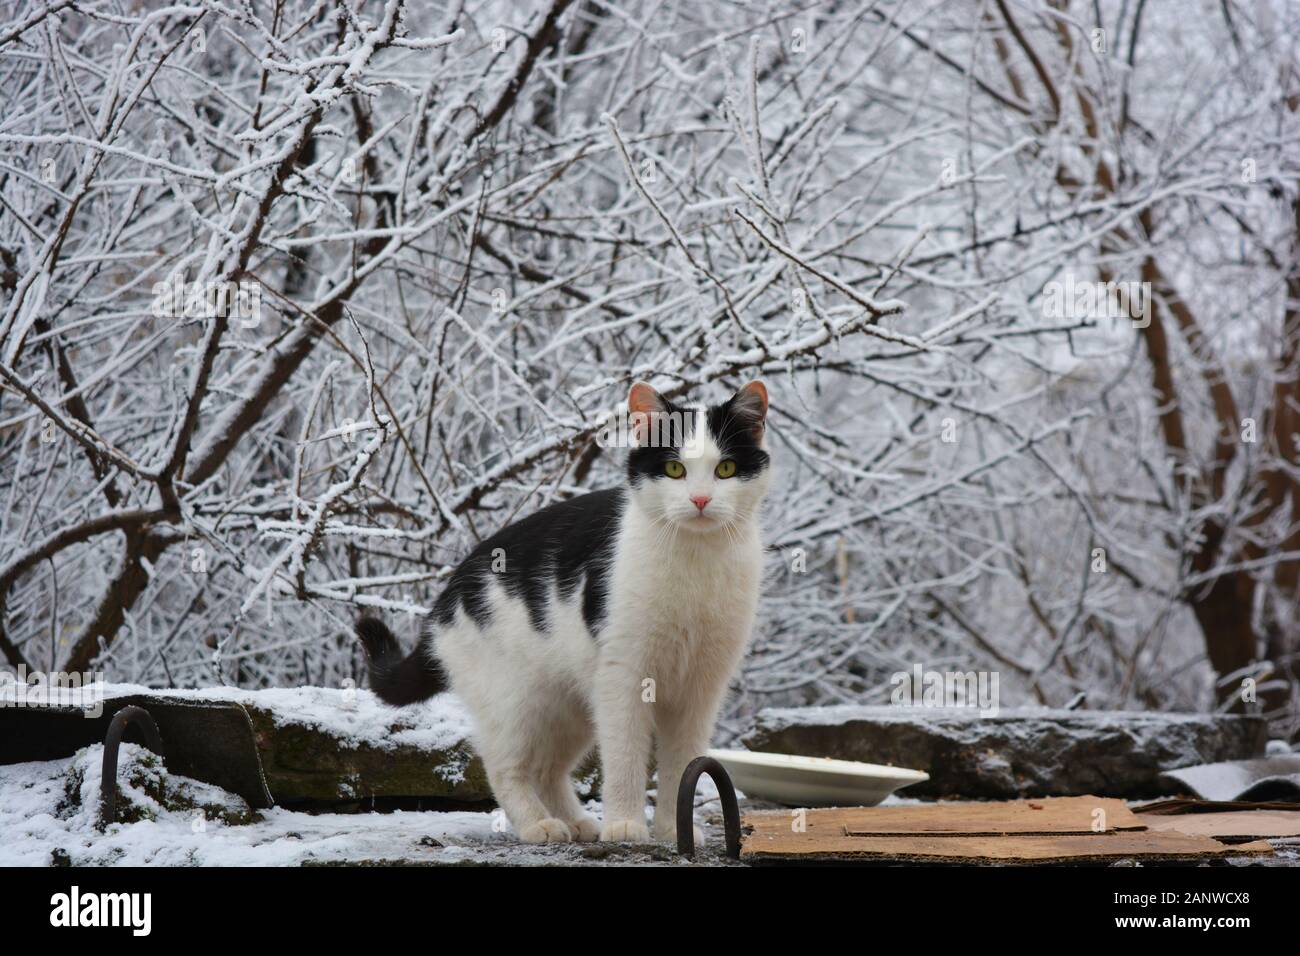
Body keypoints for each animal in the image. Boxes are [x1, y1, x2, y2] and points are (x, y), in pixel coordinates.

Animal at [356, 382, 769, 842]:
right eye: (675, 469)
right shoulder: (623, 676)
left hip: (569, 703)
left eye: (726, 469)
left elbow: (683, 763)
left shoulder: (700, 687)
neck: (696, 562)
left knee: (546, 768)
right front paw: (626, 825)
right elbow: (625, 754)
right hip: (516, 702)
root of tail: (446, 596)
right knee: (504, 766)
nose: (700, 500)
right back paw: (538, 824)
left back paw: (577, 822)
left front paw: (672, 831)